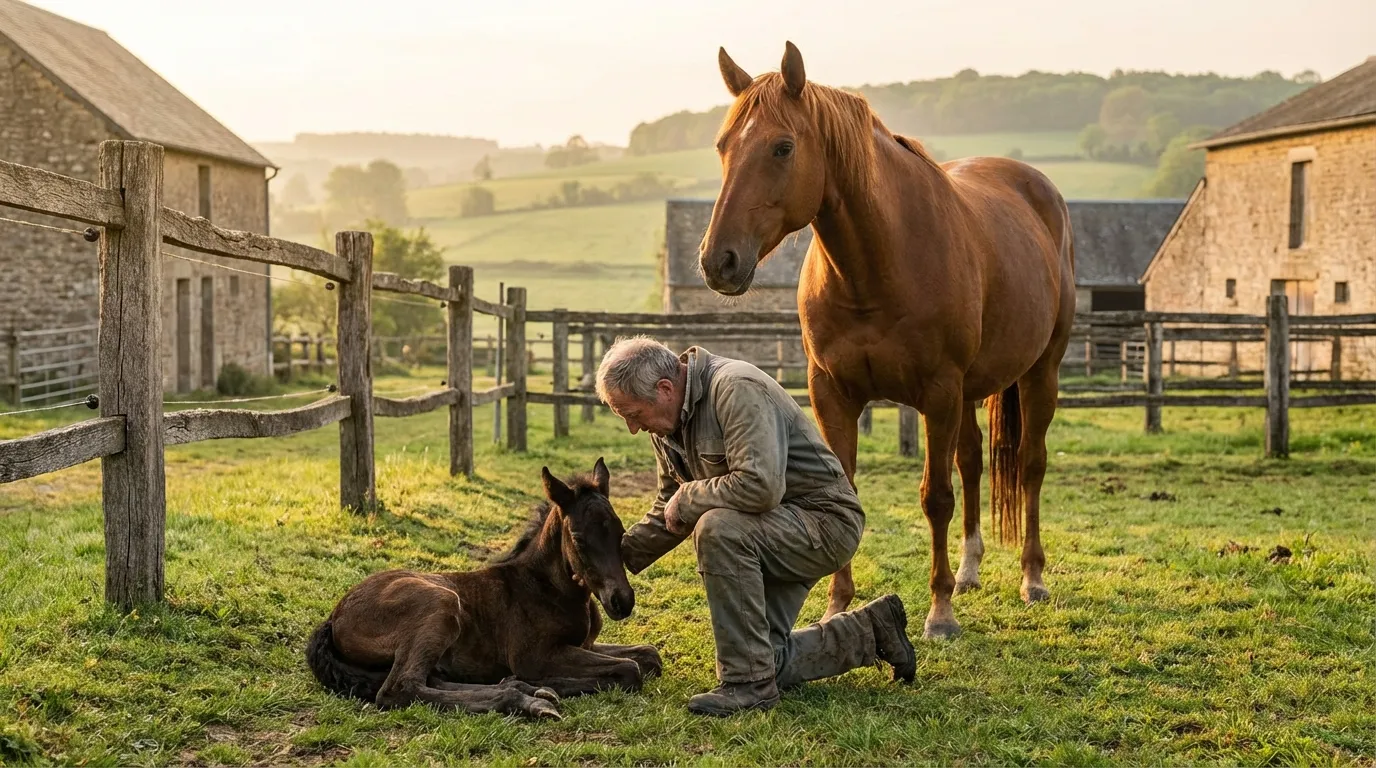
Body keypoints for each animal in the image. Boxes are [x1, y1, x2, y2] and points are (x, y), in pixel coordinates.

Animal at [305, 458, 663, 718]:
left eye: (620, 530)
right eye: (578, 538)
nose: (622, 601)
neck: (548, 588)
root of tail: (333, 618)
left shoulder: (584, 644)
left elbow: (649, 655)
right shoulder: (536, 656)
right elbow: (629, 670)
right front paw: (536, 682)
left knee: (430, 679)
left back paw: (523, 691)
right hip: (440, 604)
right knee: (400, 689)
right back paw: (524, 697)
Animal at [697, 42, 1075, 640]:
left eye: (783, 147)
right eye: (722, 145)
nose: (719, 261)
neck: (877, 265)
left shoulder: (938, 394)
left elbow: (936, 497)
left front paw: (940, 614)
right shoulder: (833, 392)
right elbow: (845, 491)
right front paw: (836, 606)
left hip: (1041, 373)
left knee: (1031, 465)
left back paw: (1031, 578)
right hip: (972, 392)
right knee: (972, 461)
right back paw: (969, 571)